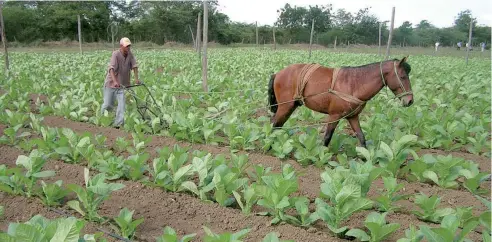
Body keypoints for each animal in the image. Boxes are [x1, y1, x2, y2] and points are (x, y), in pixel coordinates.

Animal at [268, 57, 414, 147]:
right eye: (402, 76)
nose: (410, 101)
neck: (353, 85)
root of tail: (278, 73)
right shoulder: (334, 116)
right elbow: (327, 137)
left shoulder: (353, 117)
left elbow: (361, 137)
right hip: (285, 106)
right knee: (274, 124)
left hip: (290, 106)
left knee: (277, 124)